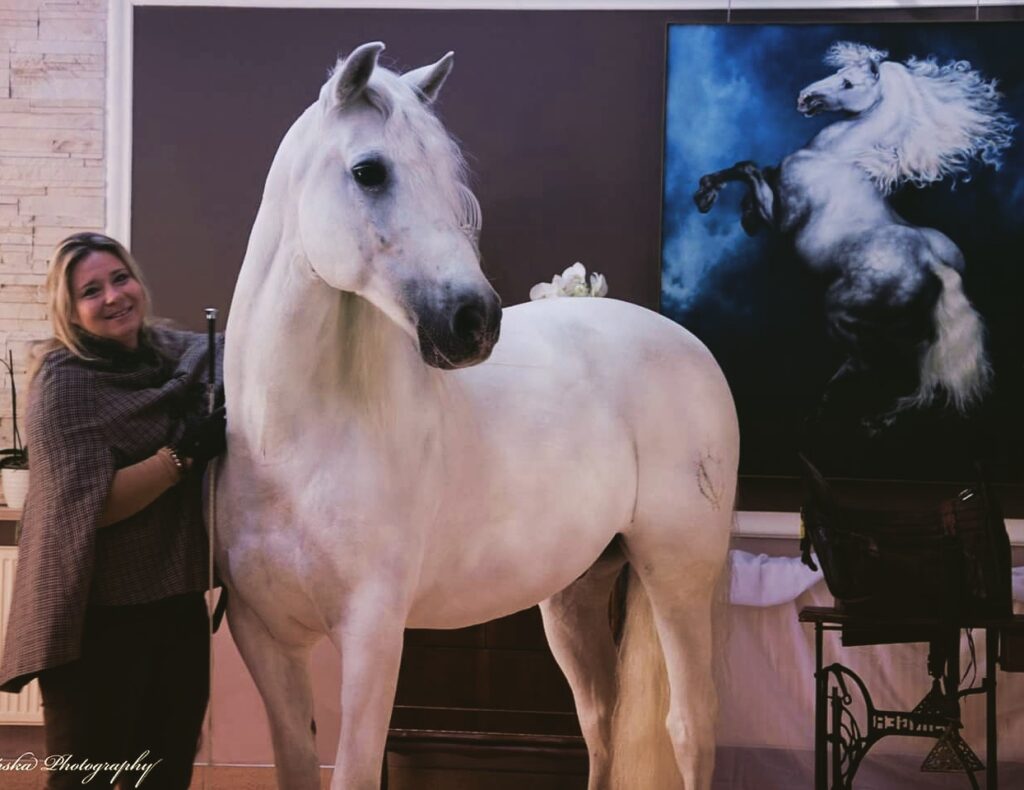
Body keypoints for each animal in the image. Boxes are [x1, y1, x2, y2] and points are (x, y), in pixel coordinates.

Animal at [216, 42, 739, 790]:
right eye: (369, 171)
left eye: (452, 180)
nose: (475, 321)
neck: (292, 444)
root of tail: (689, 345)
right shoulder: (265, 642)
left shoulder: (373, 638)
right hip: (576, 593)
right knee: (601, 719)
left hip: (677, 575)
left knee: (690, 727)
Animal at [693, 41, 1014, 427]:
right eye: (837, 72)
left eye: (847, 83)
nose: (804, 98)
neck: (835, 156)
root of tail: (931, 262)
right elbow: (754, 171)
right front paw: (723, 202)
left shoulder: (783, 220)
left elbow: (749, 169)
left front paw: (711, 198)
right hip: (912, 330)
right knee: (912, 372)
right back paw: (879, 419)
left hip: (840, 312)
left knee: (865, 363)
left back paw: (824, 411)